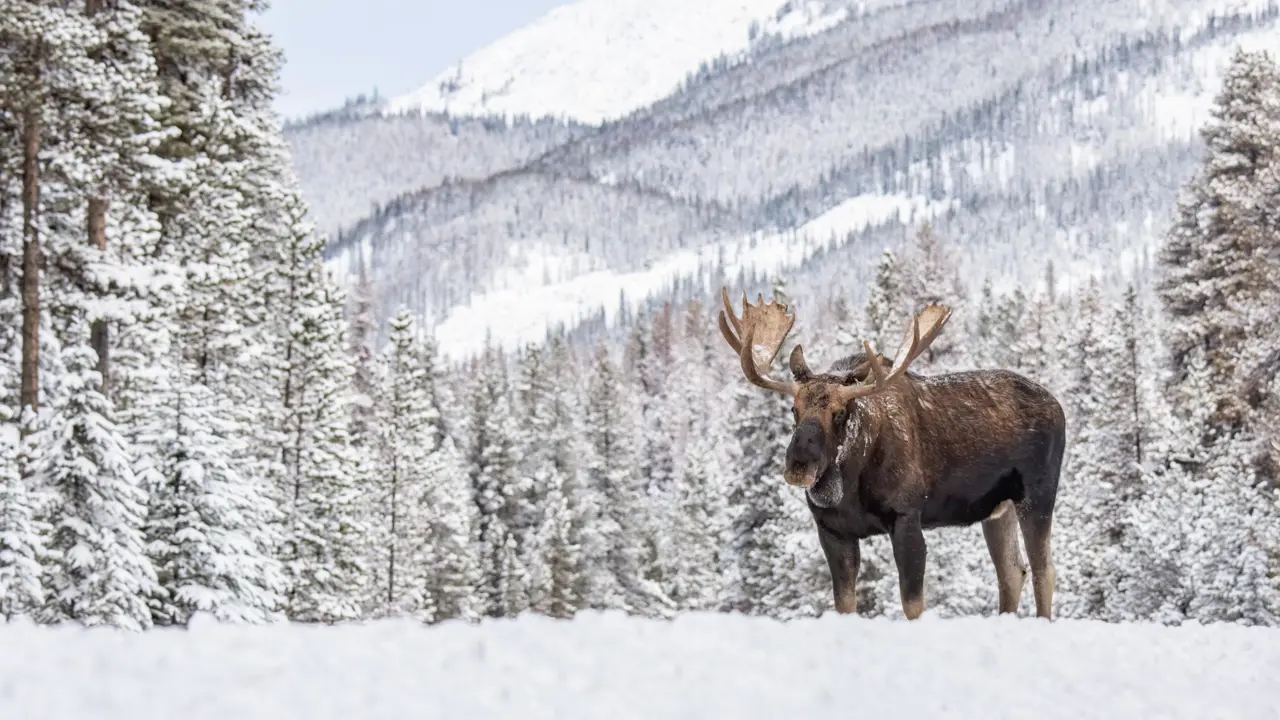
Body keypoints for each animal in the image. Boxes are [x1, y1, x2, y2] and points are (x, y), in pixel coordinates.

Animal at [716, 288, 1066, 620]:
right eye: (794, 409)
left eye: (840, 413)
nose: (799, 466)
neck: (849, 486)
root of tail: (1058, 407)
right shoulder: (832, 530)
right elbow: (845, 605)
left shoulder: (907, 518)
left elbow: (912, 605)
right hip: (997, 509)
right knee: (1012, 571)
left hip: (1037, 494)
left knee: (1044, 570)